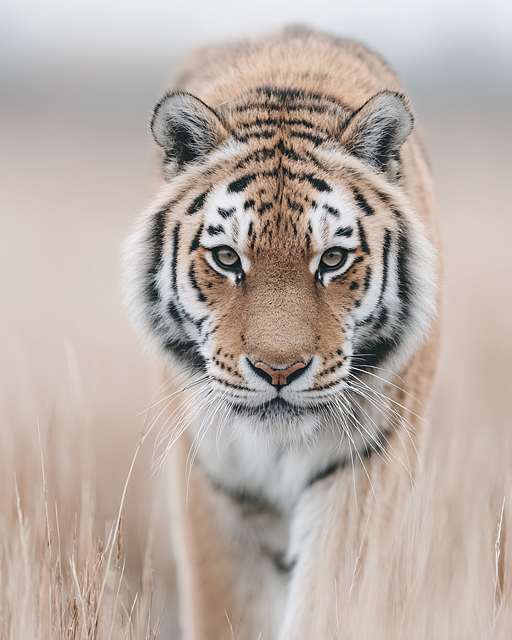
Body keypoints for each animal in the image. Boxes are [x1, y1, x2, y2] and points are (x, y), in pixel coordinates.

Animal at [123, 25, 442, 640]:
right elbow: (231, 611)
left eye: (333, 259)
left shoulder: (363, 466)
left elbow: (331, 603)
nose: (278, 371)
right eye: (227, 258)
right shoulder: (214, 482)